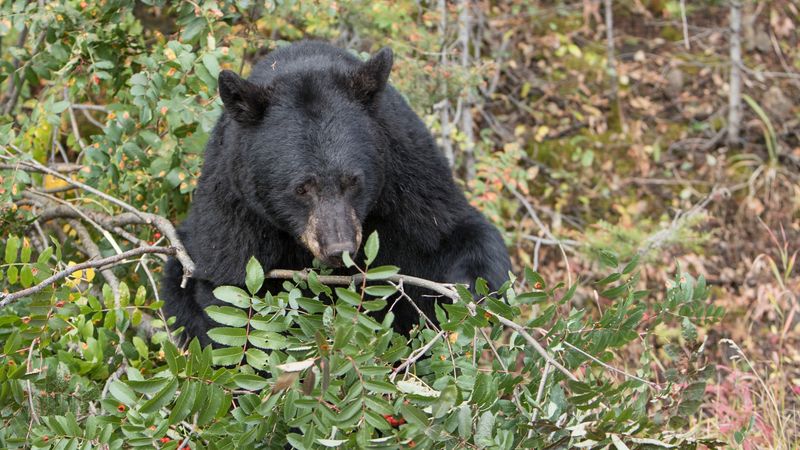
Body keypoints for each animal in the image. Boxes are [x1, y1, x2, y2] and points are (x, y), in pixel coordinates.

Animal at [161, 41, 511, 346]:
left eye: (353, 181)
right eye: (301, 187)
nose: (338, 248)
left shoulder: (409, 173)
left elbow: (452, 232)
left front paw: (467, 291)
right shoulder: (235, 207)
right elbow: (230, 289)